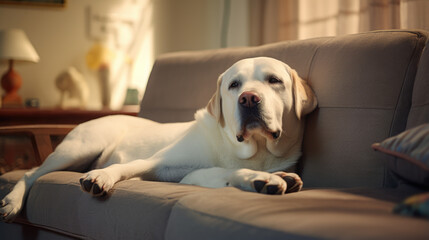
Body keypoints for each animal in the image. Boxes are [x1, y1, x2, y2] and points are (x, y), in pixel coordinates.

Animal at [0, 56, 316, 221]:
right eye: (234, 84)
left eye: (274, 80)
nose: (249, 98)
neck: (251, 149)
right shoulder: (156, 163)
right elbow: (121, 168)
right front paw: (101, 177)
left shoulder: (194, 175)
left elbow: (227, 171)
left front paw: (269, 179)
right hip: (80, 148)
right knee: (31, 172)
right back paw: (12, 202)